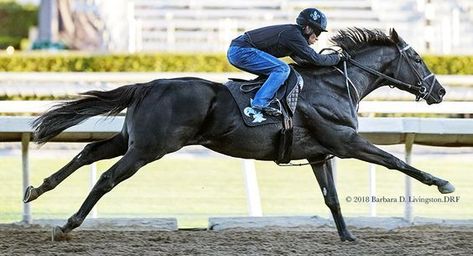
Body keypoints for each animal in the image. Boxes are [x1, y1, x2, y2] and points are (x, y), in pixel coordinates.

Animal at [24, 29, 452, 241]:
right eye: (416, 58)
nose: (440, 91)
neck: (335, 85)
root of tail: (148, 85)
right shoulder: (345, 143)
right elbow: (395, 161)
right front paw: (443, 183)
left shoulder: (319, 153)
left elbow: (331, 199)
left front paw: (348, 237)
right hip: (149, 149)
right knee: (108, 178)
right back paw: (67, 225)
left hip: (133, 140)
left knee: (89, 152)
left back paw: (36, 190)